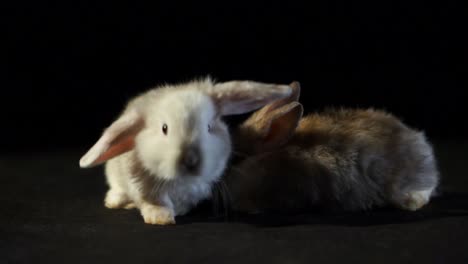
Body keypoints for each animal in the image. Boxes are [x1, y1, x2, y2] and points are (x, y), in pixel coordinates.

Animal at [80, 77, 292, 224]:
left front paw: (179, 210)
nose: (191, 160)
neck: (182, 181)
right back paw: (115, 201)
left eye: (209, 127)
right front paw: (161, 217)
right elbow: (154, 201)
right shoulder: (143, 186)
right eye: (164, 128)